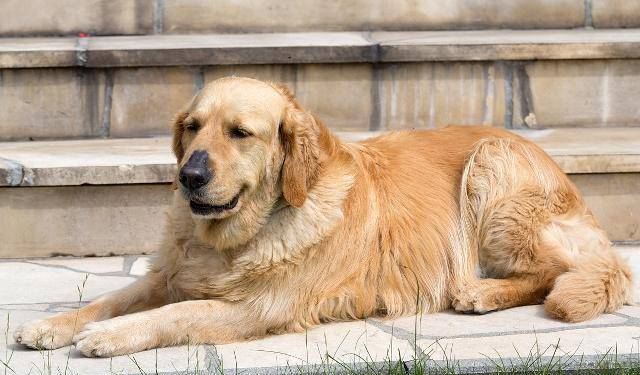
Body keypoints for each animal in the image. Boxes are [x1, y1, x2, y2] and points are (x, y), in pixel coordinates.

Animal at [12, 76, 632, 358]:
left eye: (240, 133)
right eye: (192, 126)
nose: (189, 175)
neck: (237, 237)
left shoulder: (257, 310)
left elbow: (175, 314)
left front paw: (109, 336)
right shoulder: (169, 273)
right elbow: (112, 296)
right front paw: (53, 324)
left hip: (491, 168)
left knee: (556, 271)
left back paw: (483, 291)